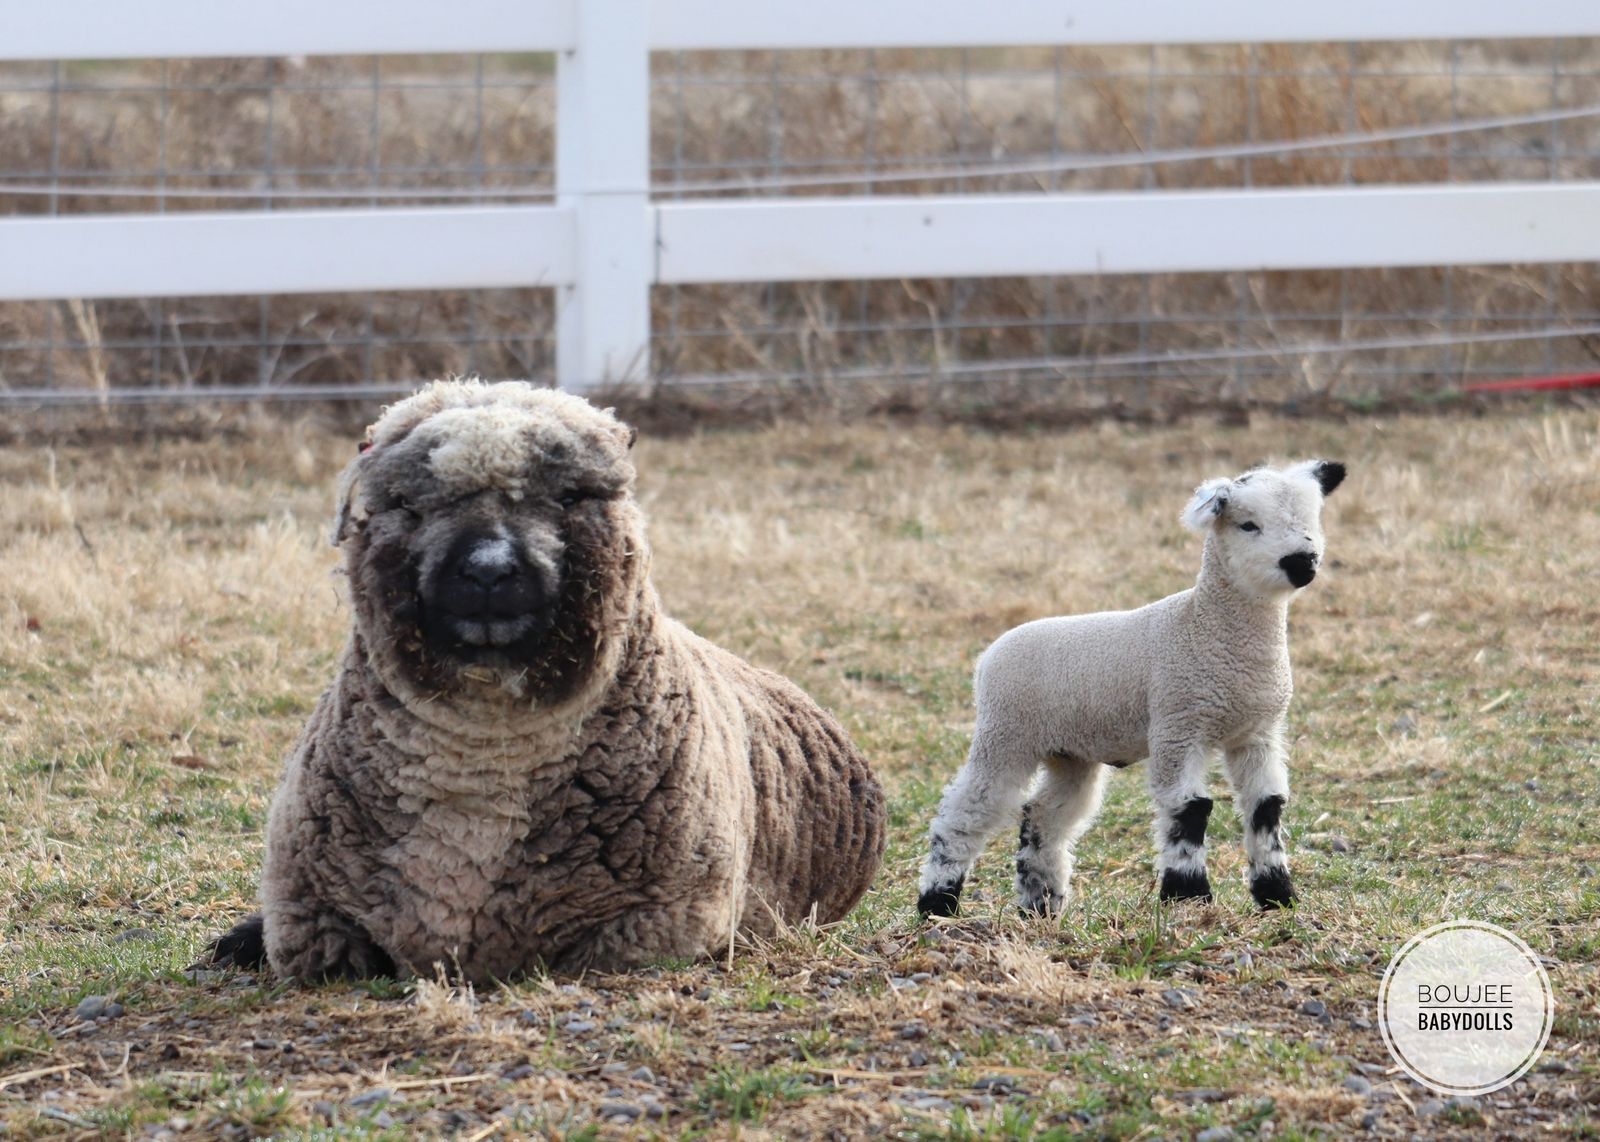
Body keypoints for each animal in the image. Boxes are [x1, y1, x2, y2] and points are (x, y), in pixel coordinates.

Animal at [208, 380, 886, 982]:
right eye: (407, 503)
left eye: (571, 495)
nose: (487, 571)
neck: (484, 765)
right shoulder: (308, 916)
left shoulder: (662, 921)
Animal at [916, 459, 1346, 918]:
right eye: (1248, 525)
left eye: (1313, 520)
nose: (1301, 562)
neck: (1204, 626)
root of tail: (987, 657)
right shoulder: (1177, 723)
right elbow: (1191, 809)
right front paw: (1188, 897)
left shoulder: (1258, 732)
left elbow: (1266, 807)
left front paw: (1278, 896)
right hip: (1005, 734)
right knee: (966, 810)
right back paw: (937, 902)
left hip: (1069, 752)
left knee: (1044, 816)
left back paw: (1040, 906)